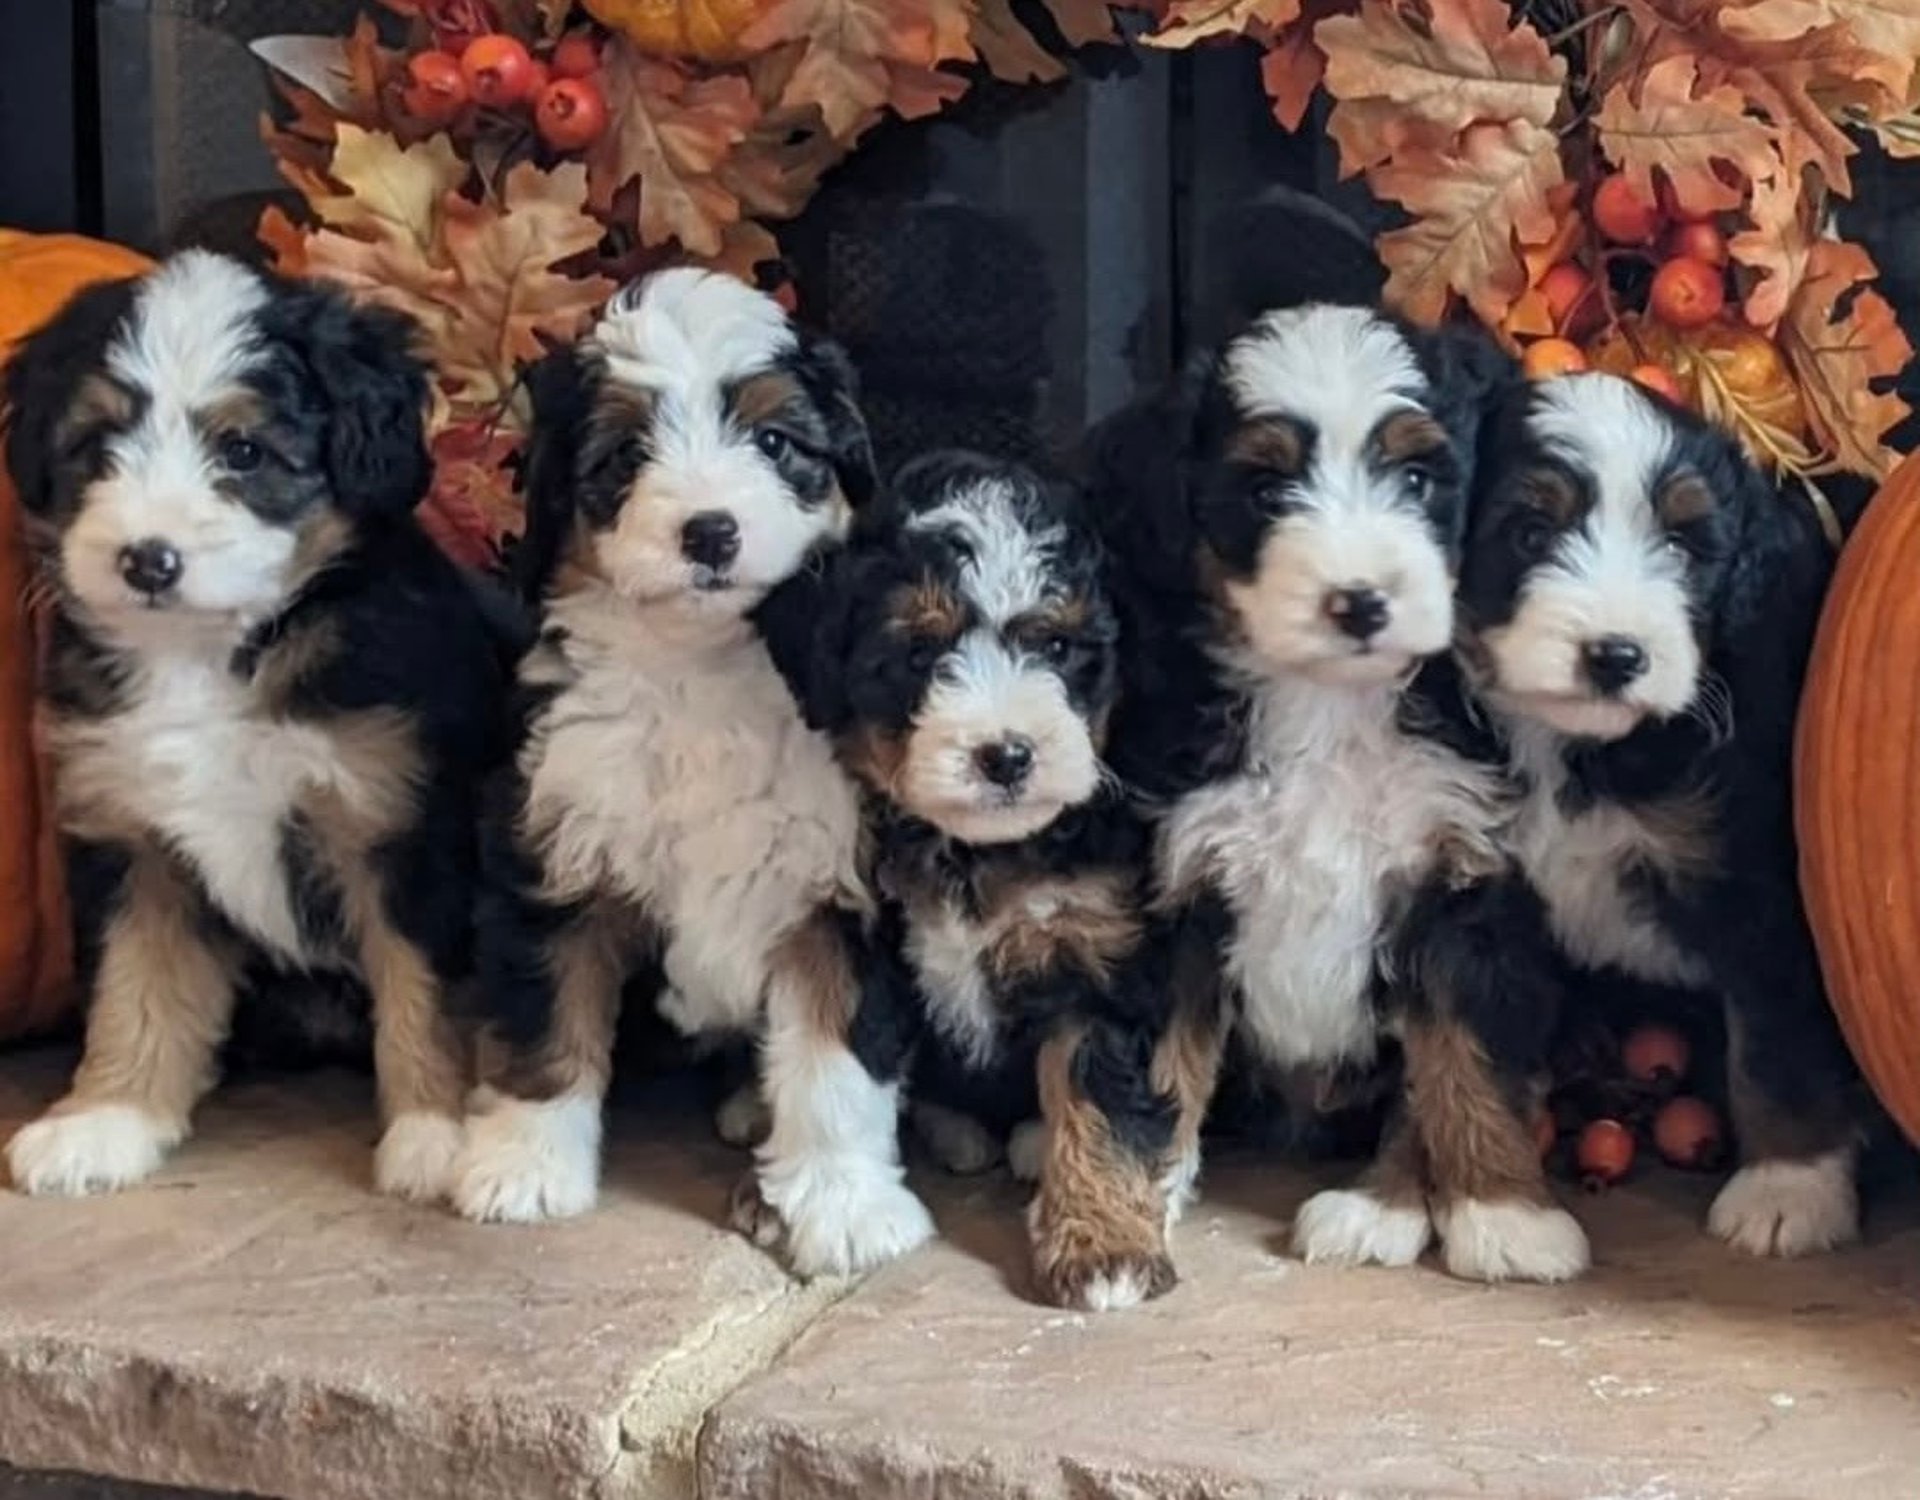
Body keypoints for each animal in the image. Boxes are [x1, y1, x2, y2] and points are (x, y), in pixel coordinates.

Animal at [1, 251, 510, 1198]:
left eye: (243, 451)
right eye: (98, 446)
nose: (148, 560)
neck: (210, 654)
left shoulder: (406, 828)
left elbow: (428, 992)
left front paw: (440, 1134)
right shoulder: (135, 842)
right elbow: (134, 985)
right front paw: (106, 1119)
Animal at [456, 266, 936, 1275]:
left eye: (774, 441)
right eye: (625, 456)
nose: (711, 532)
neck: (699, 669)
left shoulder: (846, 888)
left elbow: (834, 1062)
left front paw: (842, 1204)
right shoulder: (550, 846)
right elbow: (543, 1015)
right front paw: (523, 1165)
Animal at [752, 453, 1213, 1313]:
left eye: (1059, 647)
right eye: (918, 656)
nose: (1006, 754)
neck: (976, 850)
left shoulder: (1103, 953)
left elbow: (1104, 1099)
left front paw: (1104, 1244)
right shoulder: (852, 929)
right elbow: (833, 1064)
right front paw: (844, 1209)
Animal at [1082, 303, 1589, 1275]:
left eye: (1418, 478)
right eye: (1267, 492)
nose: (1359, 601)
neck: (1325, 704)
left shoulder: (1459, 882)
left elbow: (1465, 1061)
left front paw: (1506, 1214)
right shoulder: (1178, 891)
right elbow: (1161, 1069)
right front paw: (1129, 1203)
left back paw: (1374, 1206)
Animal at [1451, 370, 1858, 1252]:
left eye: (1681, 546)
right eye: (1530, 533)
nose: (1616, 655)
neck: (1577, 747)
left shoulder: (1759, 886)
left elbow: (1777, 1041)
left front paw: (1789, 1191)